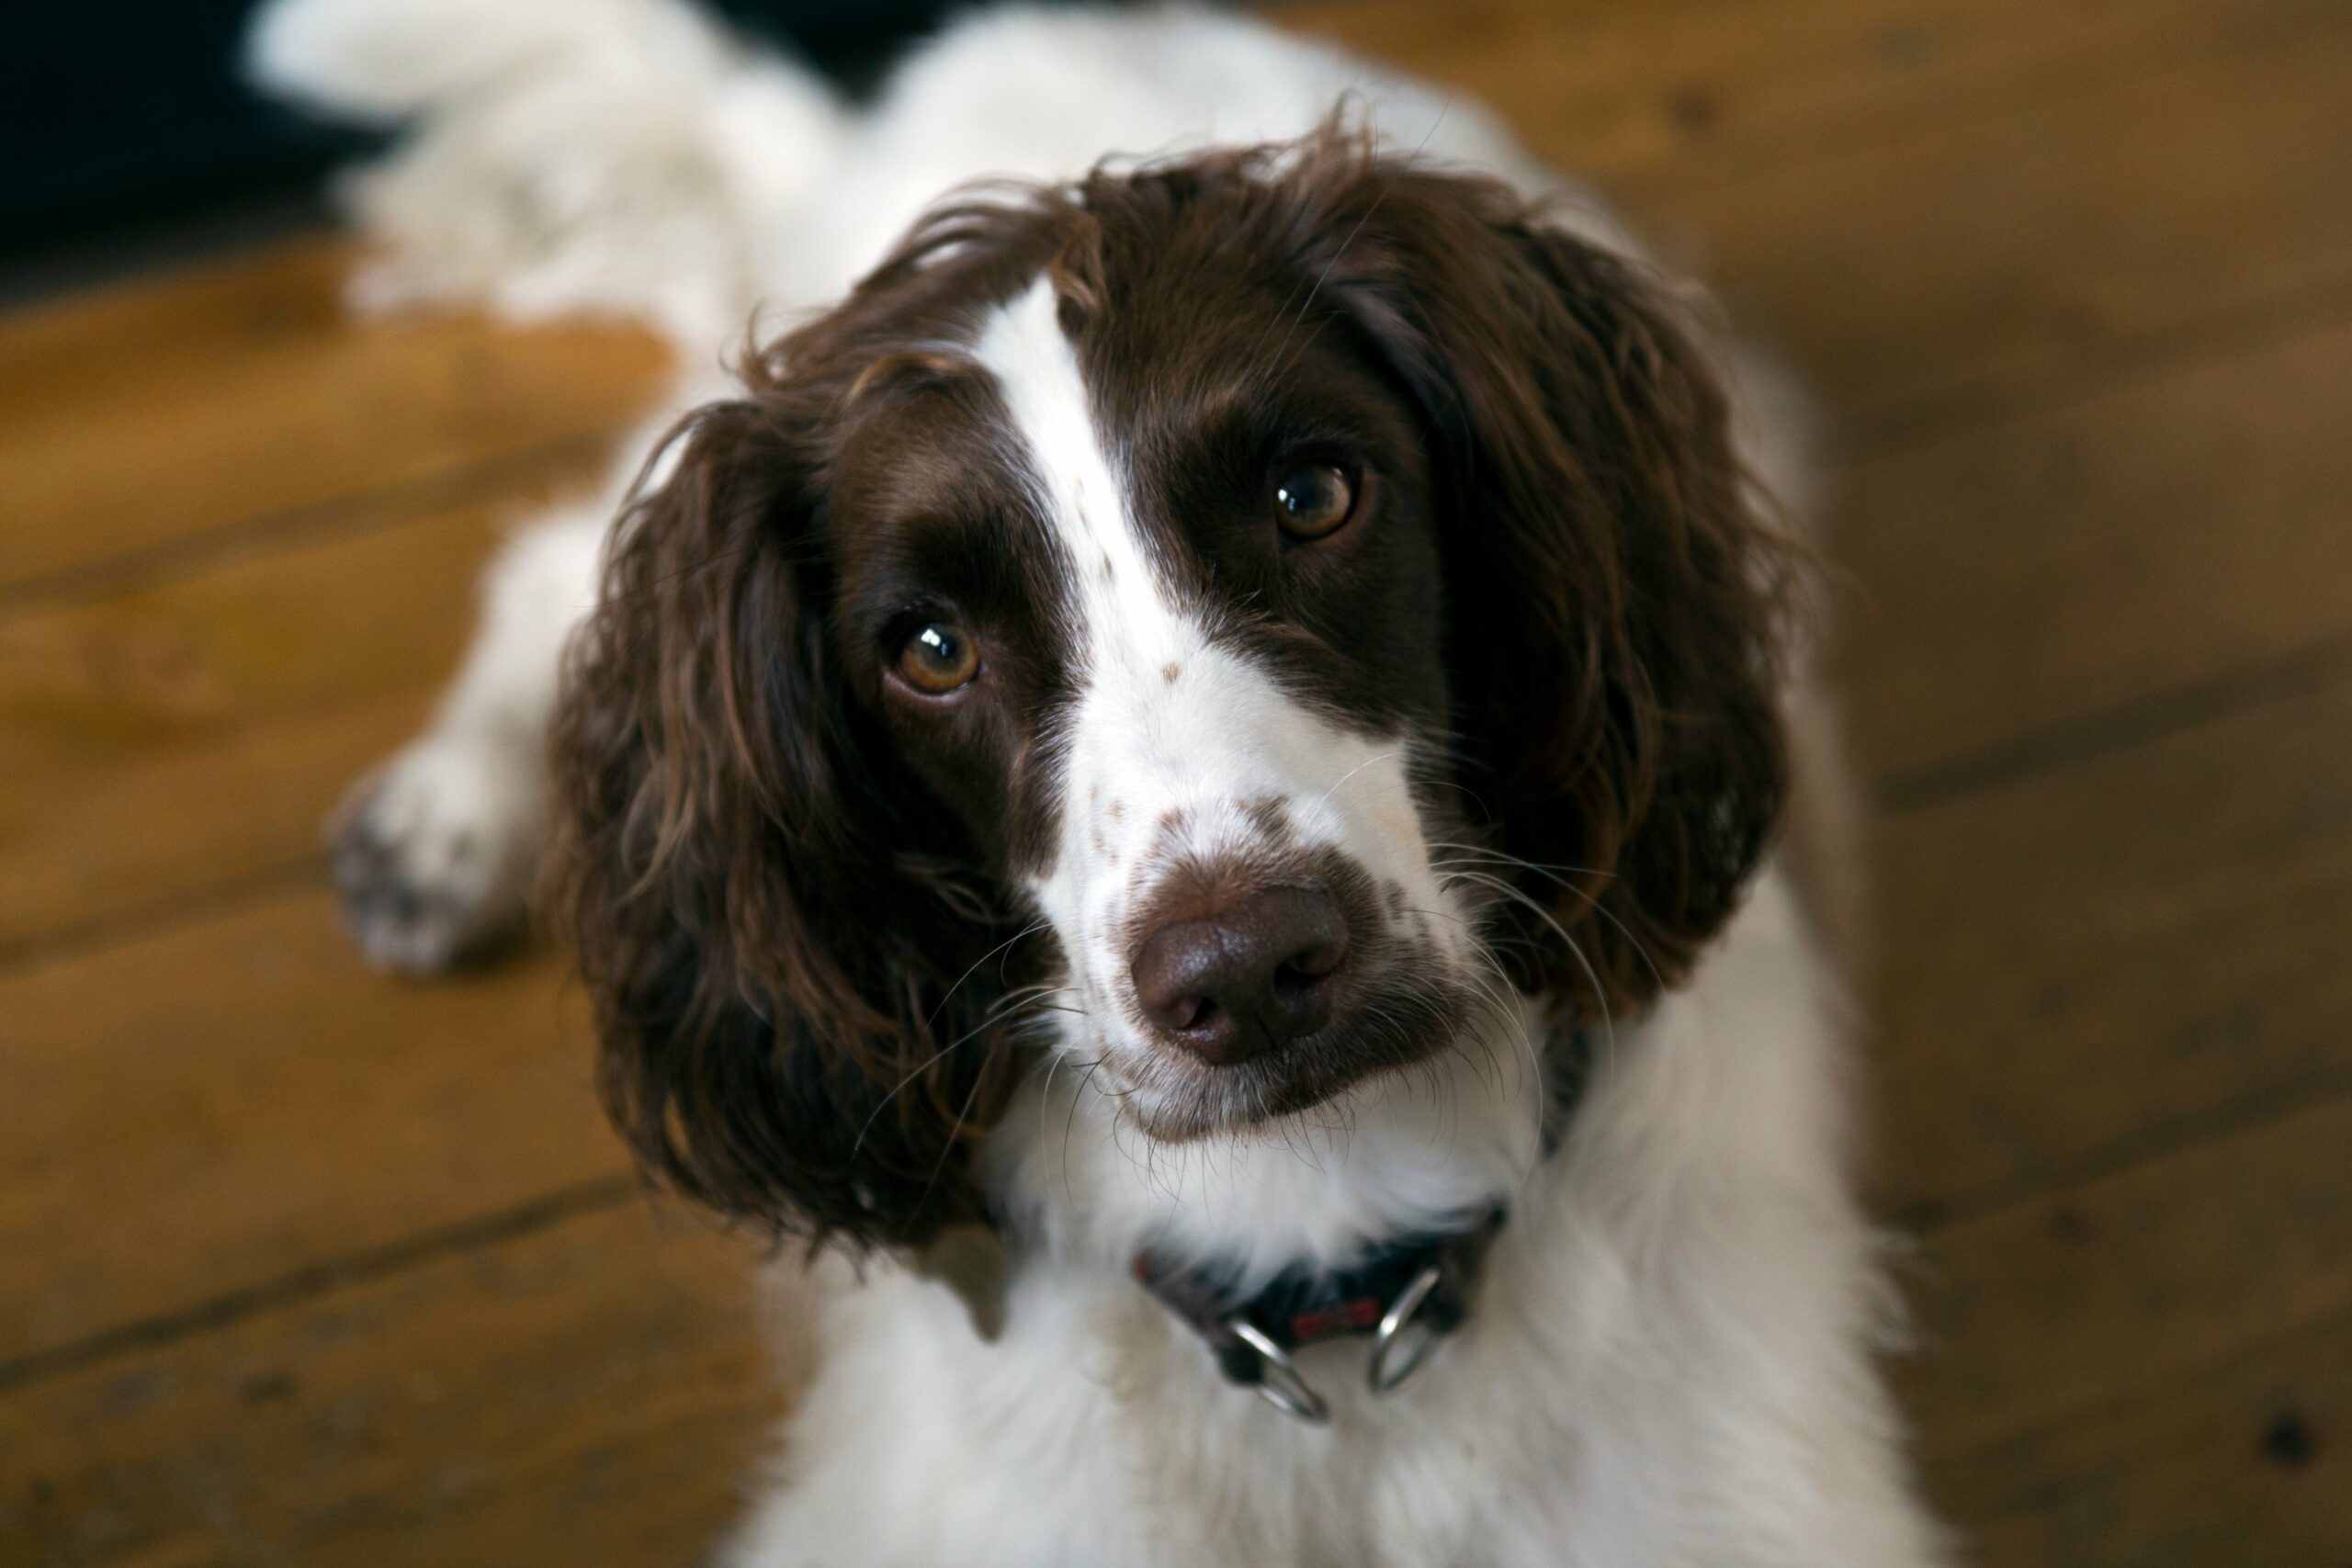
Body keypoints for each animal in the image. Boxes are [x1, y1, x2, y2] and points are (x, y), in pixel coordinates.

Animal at [253, 6, 1947, 1561]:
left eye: (1313, 493)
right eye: (930, 648)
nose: (1247, 969)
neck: (1334, 1291)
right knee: (551, 568)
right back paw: (443, 822)